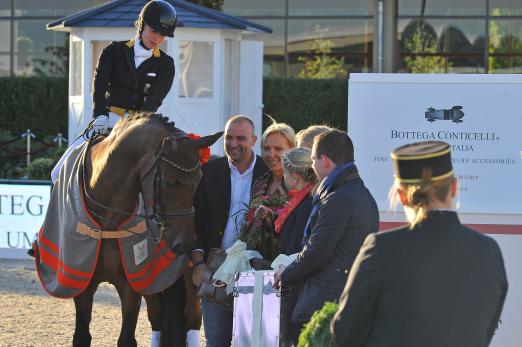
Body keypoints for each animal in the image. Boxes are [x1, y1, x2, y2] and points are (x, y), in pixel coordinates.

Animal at [73, 113, 219, 346]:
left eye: (199, 182)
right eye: (169, 182)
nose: (186, 243)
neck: (108, 221)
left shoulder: (131, 285)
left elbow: (126, 338)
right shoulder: (81, 282)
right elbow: (81, 336)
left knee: (191, 317)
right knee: (157, 317)